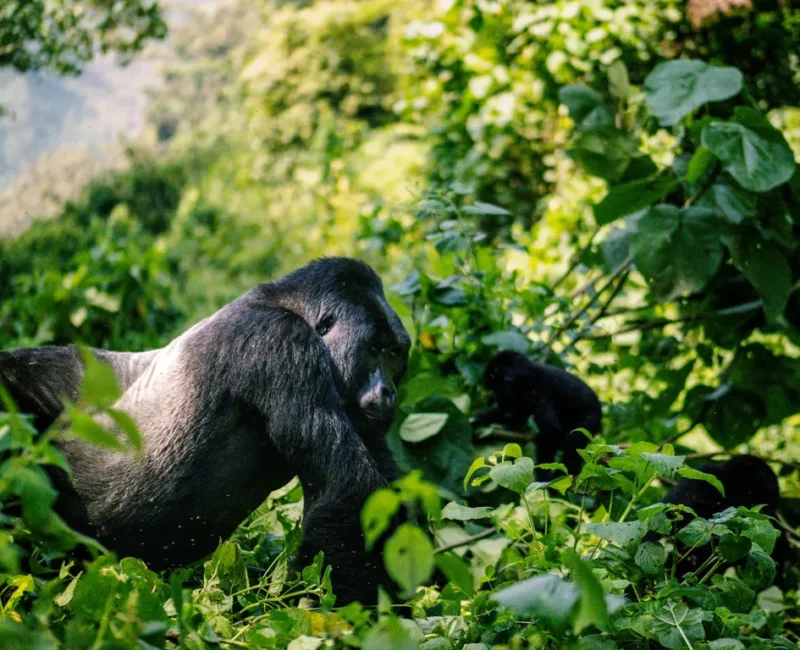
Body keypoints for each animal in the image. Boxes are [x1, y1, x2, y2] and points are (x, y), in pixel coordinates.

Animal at [0, 257, 410, 605]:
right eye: (374, 349)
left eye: (395, 354)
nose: (390, 392)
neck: (290, 304)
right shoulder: (282, 341)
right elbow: (349, 491)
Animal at [472, 351, 602, 480]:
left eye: (496, 388)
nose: (496, 397)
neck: (525, 378)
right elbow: (515, 419)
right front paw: (477, 423)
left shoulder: (540, 392)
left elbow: (553, 432)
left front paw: (543, 477)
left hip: (591, 418)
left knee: (575, 439)